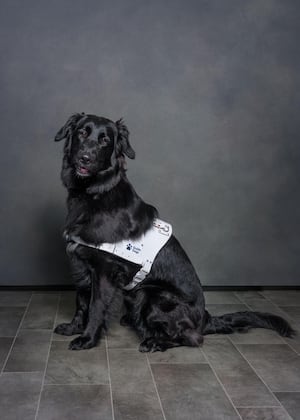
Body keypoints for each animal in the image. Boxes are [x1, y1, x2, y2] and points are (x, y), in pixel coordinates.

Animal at [54, 112, 296, 352]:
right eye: (82, 133)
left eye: (105, 140)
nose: (85, 157)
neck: (94, 194)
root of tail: (205, 318)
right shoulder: (81, 264)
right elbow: (81, 302)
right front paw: (73, 327)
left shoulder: (104, 270)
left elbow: (95, 306)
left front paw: (87, 339)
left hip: (151, 294)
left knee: (192, 338)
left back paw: (154, 342)